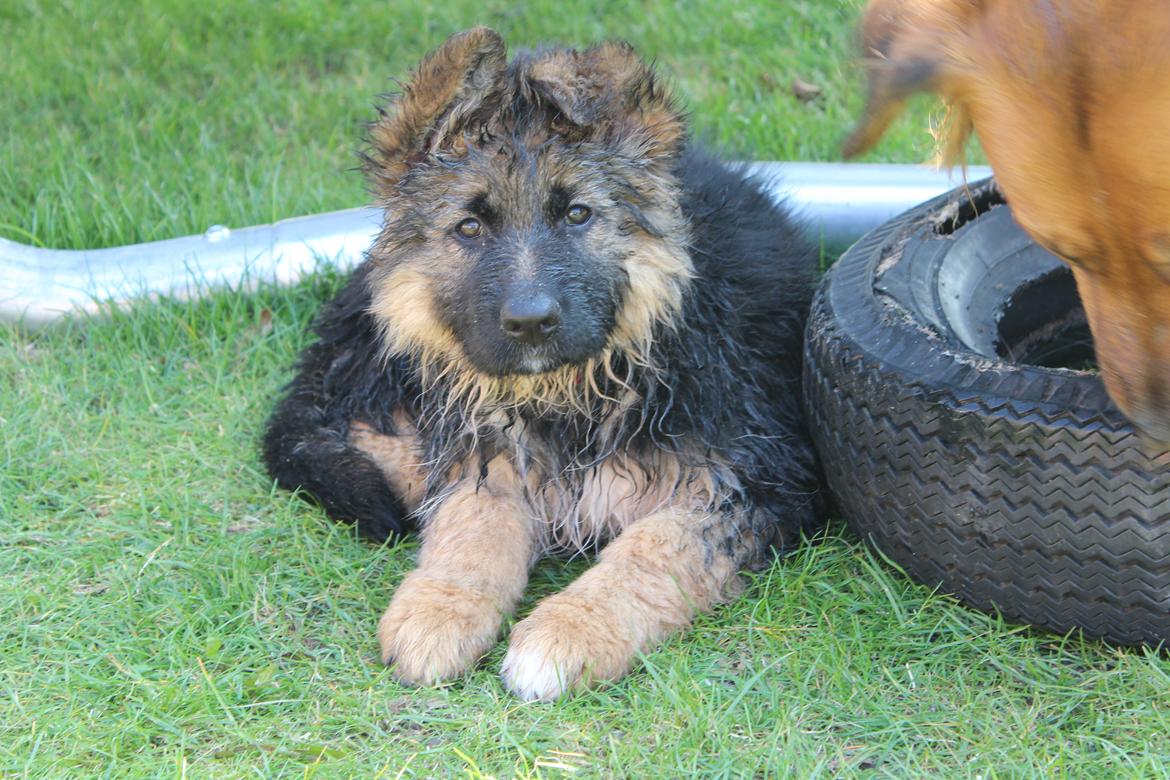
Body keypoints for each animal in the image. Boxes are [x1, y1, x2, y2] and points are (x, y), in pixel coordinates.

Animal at [264, 28, 819, 701]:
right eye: (469, 226)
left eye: (577, 214)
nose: (530, 323)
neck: (568, 395)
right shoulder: (487, 446)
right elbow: (471, 526)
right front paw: (439, 608)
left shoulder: (753, 477)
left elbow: (653, 552)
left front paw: (569, 632)